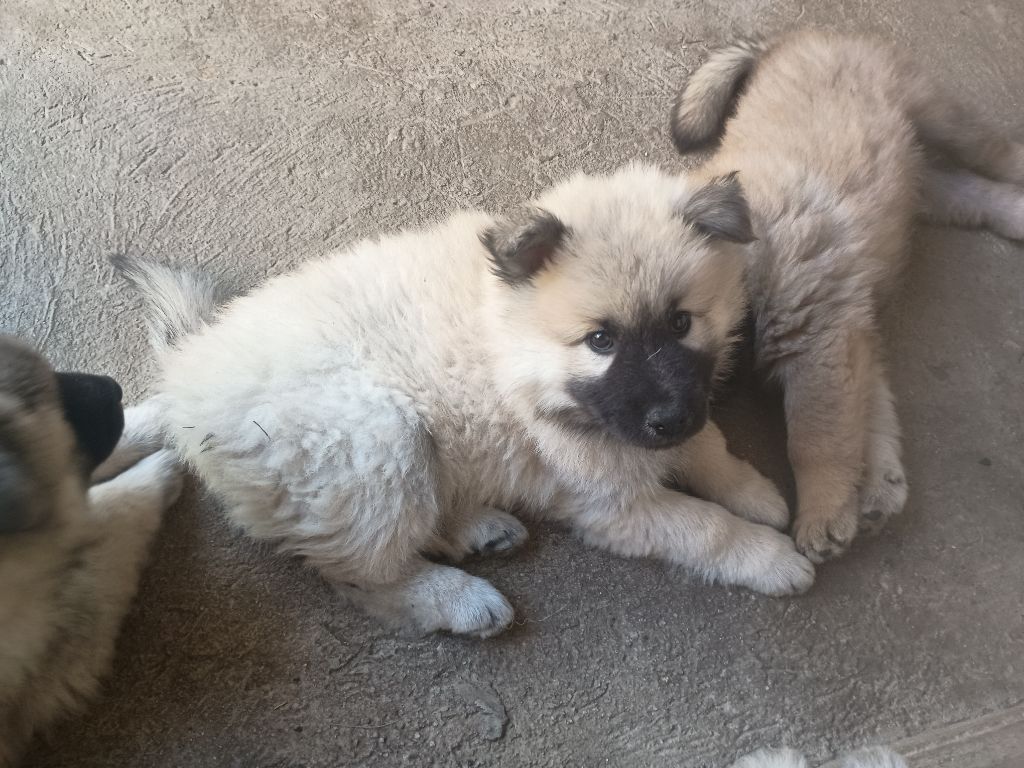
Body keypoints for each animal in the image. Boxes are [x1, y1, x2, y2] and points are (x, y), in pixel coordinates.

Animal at [115, 163, 815, 638]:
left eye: (681, 323)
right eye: (601, 341)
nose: (668, 417)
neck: (512, 346)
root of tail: (187, 376)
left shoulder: (670, 413)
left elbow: (711, 446)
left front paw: (756, 490)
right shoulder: (613, 502)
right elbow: (705, 528)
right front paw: (770, 557)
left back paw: (478, 527)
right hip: (373, 439)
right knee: (362, 573)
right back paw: (460, 599)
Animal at [669, 30, 1024, 561]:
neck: (745, 255)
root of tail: (784, 43)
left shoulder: (821, 342)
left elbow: (818, 441)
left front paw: (824, 514)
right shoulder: (848, 327)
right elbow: (869, 410)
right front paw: (875, 484)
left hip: (937, 112)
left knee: (995, 150)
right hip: (923, 182)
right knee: (974, 192)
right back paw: (1018, 214)